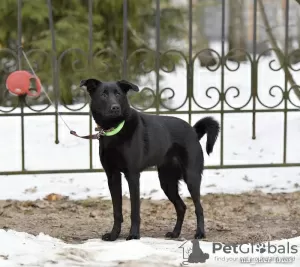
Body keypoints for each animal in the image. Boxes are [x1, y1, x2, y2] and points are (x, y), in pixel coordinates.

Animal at [80, 78, 220, 243]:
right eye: (103, 94)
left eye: (118, 94)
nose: (115, 108)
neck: (114, 131)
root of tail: (193, 131)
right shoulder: (112, 176)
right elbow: (117, 211)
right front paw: (114, 235)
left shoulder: (133, 175)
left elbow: (135, 210)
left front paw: (134, 235)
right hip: (167, 182)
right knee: (181, 207)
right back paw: (175, 233)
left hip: (191, 177)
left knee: (199, 208)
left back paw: (200, 233)